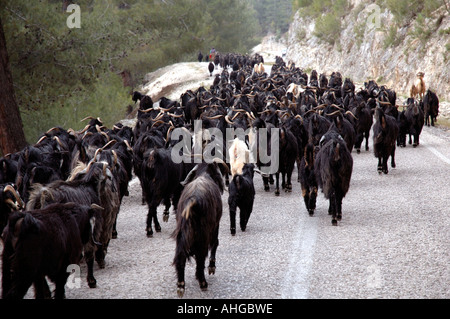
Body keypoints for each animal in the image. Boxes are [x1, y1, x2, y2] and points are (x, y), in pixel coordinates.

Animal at [174, 161, 227, 298]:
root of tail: (193, 200)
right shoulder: (215, 225)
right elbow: (215, 243)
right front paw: (212, 267)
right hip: (203, 234)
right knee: (201, 256)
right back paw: (203, 283)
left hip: (182, 234)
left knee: (180, 256)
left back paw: (181, 285)